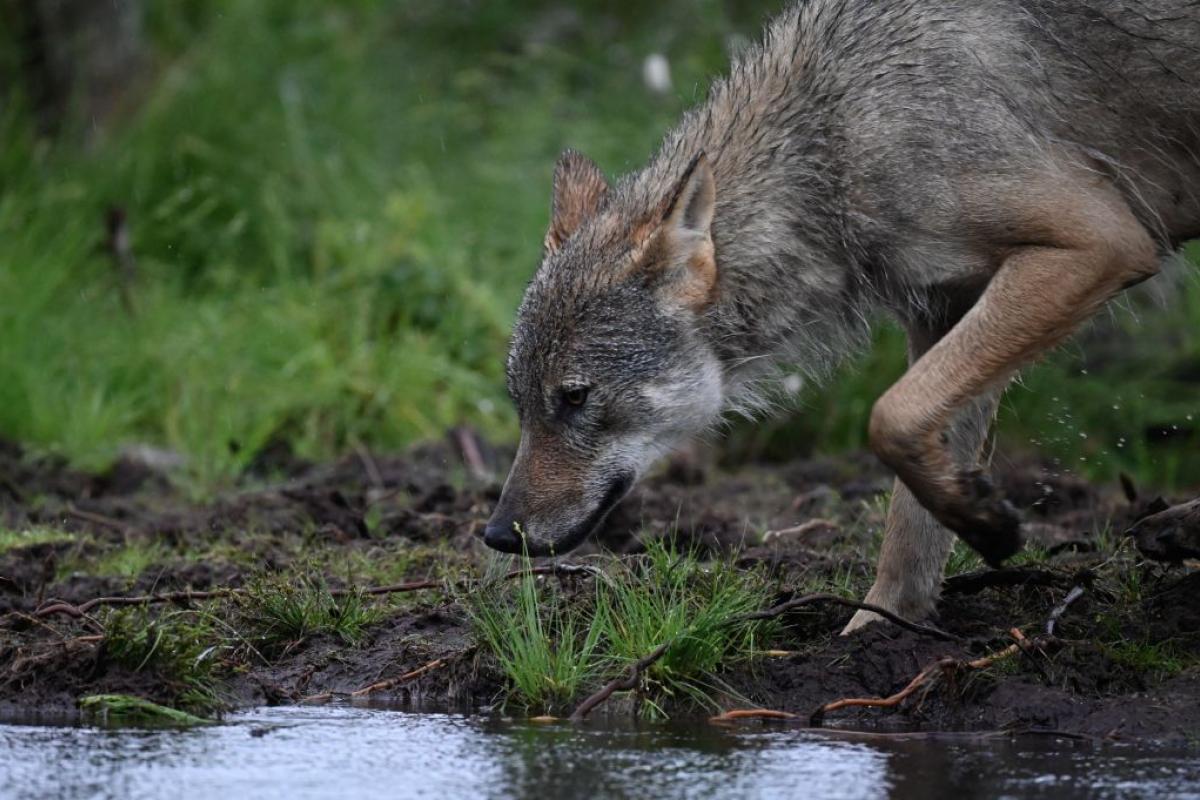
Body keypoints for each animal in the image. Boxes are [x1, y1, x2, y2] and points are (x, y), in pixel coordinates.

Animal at [484, 0, 1200, 632]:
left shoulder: (1099, 245)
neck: (835, 140)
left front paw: (989, 527)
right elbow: (909, 520)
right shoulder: (946, 310)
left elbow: (889, 416)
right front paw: (877, 633)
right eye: (521, 403)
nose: (495, 534)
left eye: (575, 398)